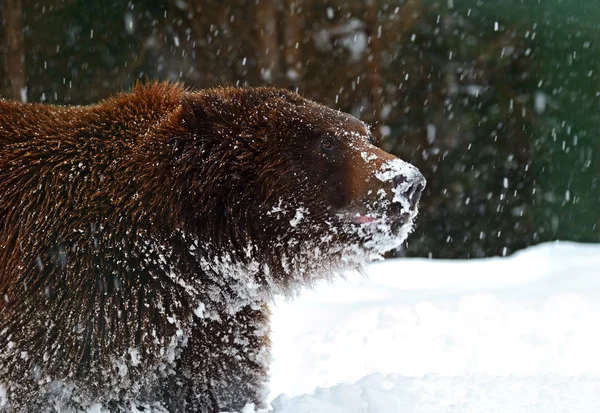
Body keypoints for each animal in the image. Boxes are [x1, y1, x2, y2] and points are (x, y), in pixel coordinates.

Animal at [0, 82, 424, 410]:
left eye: (364, 134)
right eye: (327, 142)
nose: (409, 181)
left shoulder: (214, 322)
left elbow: (217, 385)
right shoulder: (82, 297)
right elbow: (54, 383)